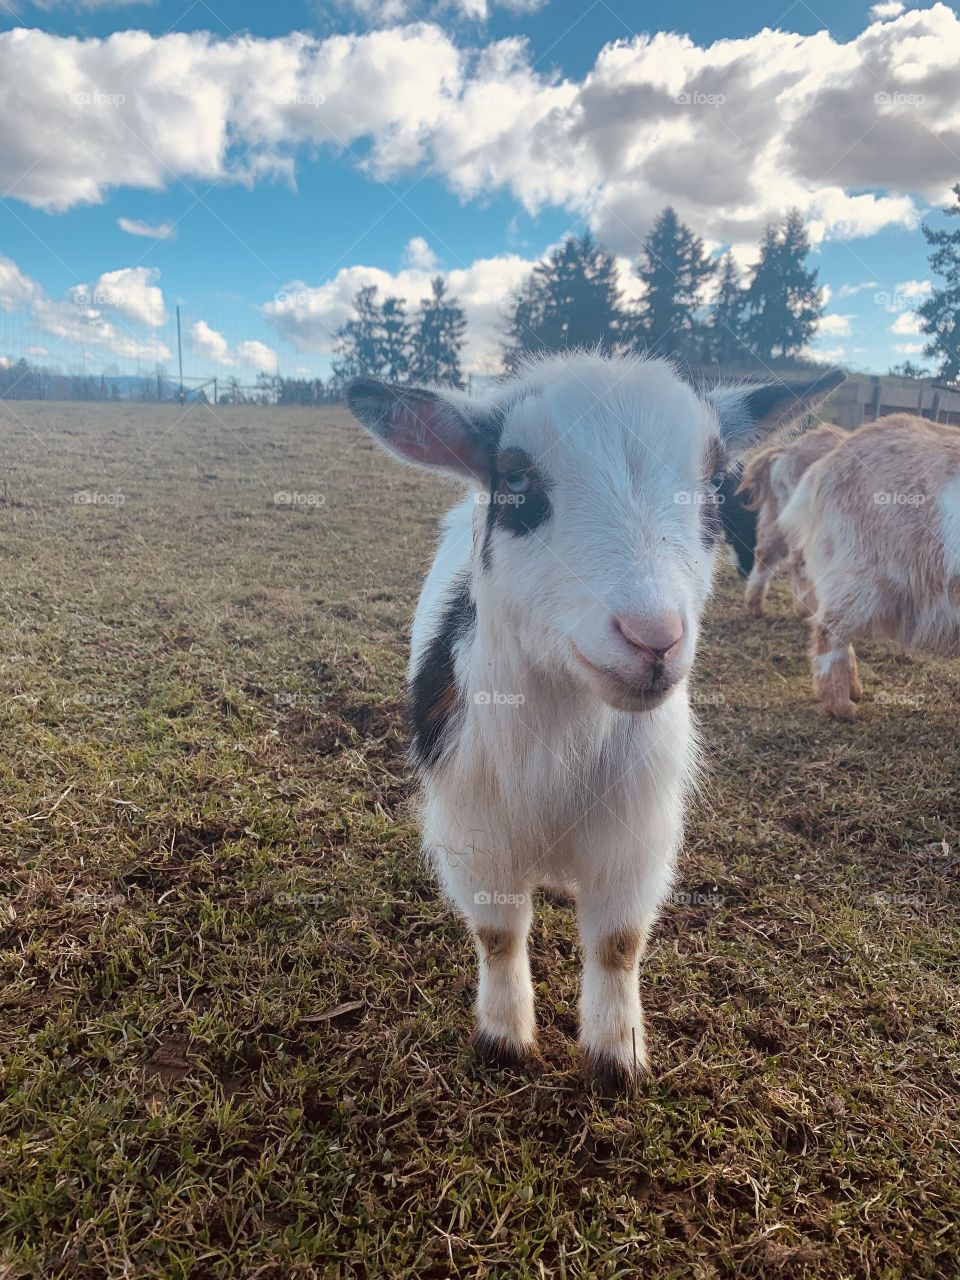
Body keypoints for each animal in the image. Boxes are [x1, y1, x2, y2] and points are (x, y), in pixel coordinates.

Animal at [738, 423, 845, 617]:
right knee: (799, 562)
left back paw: (755, 605)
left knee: (765, 554)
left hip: (775, 516)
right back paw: (806, 608)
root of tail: (787, 452)